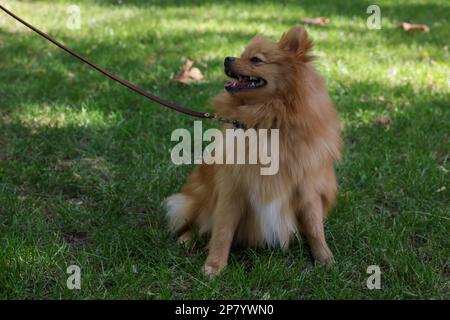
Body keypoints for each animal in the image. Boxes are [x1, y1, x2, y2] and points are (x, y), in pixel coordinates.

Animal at [165, 26, 342, 276]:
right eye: (241, 54)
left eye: (255, 60)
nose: (227, 58)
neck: (266, 121)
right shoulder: (232, 189)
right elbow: (222, 231)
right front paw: (214, 265)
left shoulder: (307, 190)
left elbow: (315, 228)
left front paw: (324, 258)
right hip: (195, 197)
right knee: (194, 221)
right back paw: (186, 239)